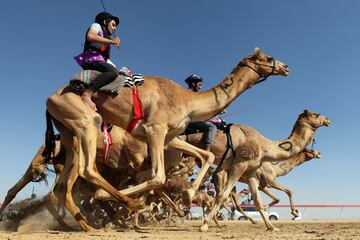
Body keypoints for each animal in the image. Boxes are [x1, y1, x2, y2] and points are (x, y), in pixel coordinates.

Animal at [43, 47, 290, 231]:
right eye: (268, 58)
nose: (286, 67)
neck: (187, 100)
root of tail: (50, 98)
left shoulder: (170, 136)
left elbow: (207, 155)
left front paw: (189, 195)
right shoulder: (155, 129)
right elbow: (158, 177)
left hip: (67, 131)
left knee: (63, 183)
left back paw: (84, 223)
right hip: (86, 120)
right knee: (86, 168)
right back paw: (121, 205)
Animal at [184, 109, 330, 232]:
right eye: (316, 114)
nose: (328, 119)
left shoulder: (251, 173)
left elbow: (258, 200)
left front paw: (272, 227)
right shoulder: (243, 167)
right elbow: (286, 192)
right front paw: (203, 225)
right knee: (220, 196)